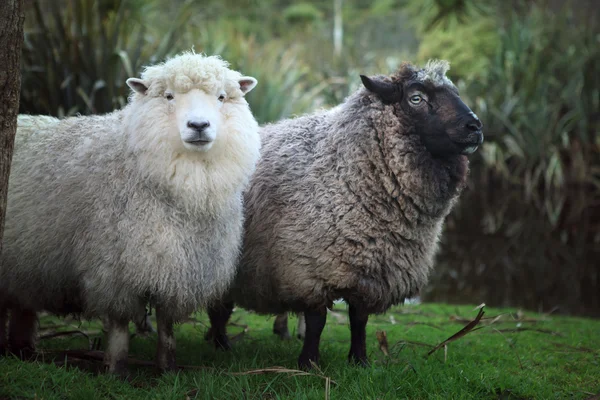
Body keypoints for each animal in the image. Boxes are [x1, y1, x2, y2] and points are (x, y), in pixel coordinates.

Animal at [0, 51, 262, 374]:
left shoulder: (176, 267)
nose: (199, 125)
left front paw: (167, 368)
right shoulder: (114, 268)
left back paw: (22, 350)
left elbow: (166, 325)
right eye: (169, 96)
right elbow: (119, 324)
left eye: (222, 97)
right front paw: (115, 369)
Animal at [206, 59, 482, 368]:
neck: (345, 167)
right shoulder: (308, 270)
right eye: (416, 98)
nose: (475, 126)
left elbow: (359, 319)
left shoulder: (370, 271)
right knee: (218, 309)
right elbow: (317, 321)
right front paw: (309, 363)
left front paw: (359, 360)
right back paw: (222, 345)